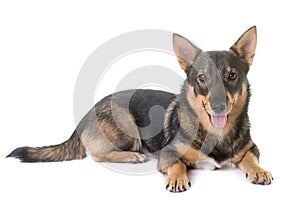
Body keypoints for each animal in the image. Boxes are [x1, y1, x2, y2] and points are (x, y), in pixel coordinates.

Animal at [8, 26, 274, 193]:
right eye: (201, 78)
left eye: (232, 76)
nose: (219, 106)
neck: (215, 132)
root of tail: (85, 115)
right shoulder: (167, 153)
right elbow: (177, 164)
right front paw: (177, 178)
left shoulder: (251, 148)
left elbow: (250, 158)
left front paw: (259, 170)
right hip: (127, 124)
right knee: (96, 154)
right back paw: (131, 156)